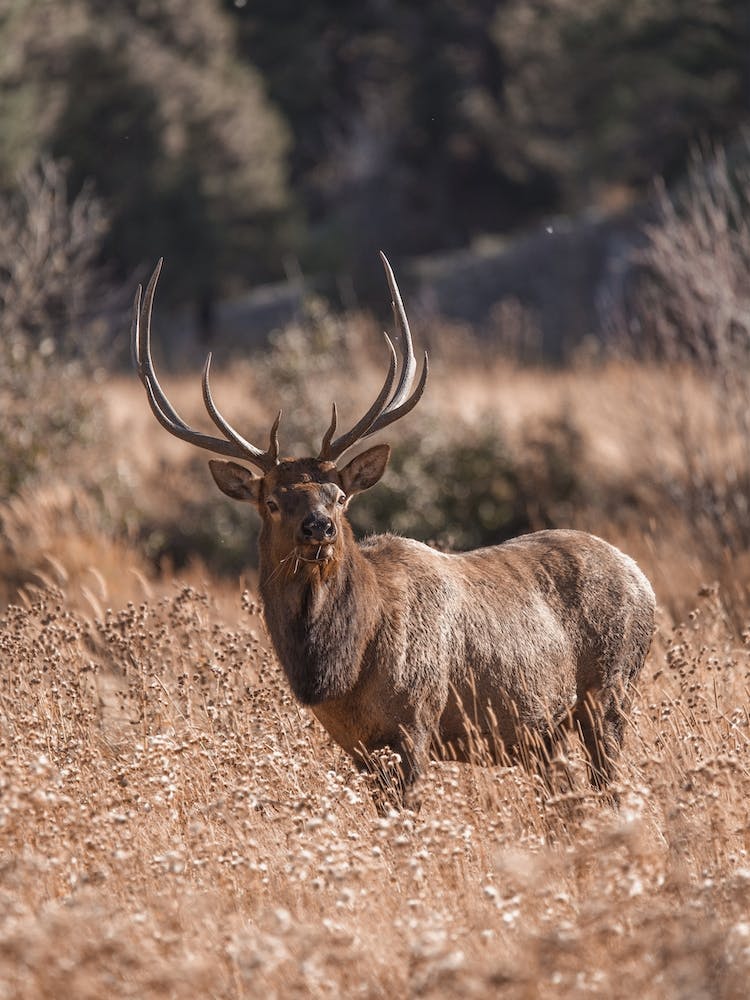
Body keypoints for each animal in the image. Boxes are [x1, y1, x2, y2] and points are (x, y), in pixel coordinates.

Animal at [132, 253, 655, 810]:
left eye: (339, 497)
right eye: (271, 502)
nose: (319, 528)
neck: (340, 671)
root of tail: (642, 578)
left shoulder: (416, 720)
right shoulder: (355, 745)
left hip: (611, 690)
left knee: (610, 781)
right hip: (546, 734)